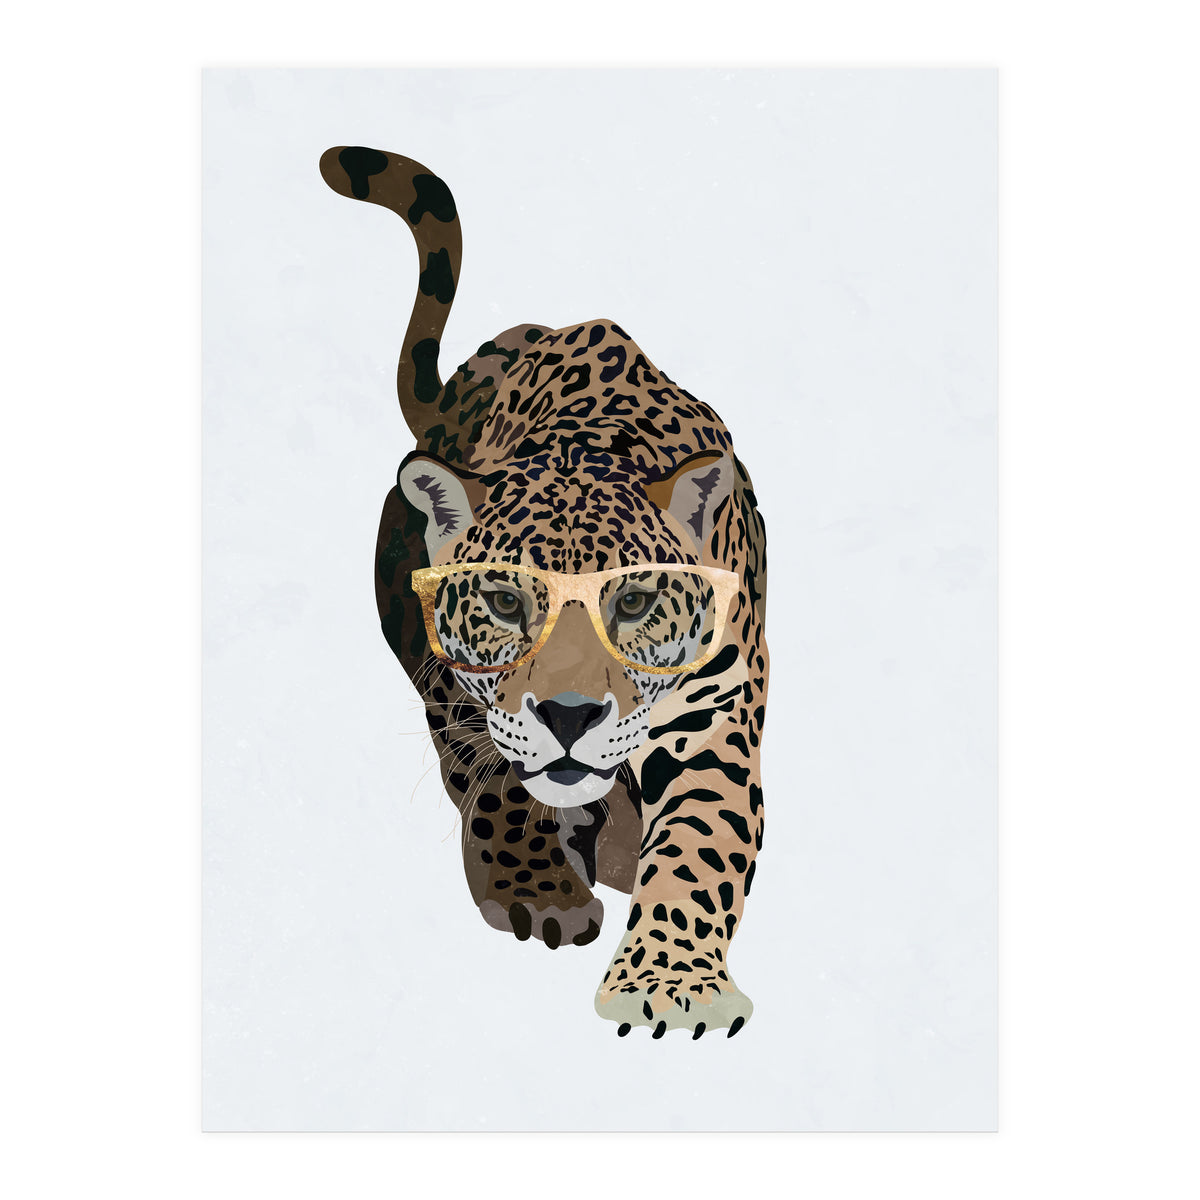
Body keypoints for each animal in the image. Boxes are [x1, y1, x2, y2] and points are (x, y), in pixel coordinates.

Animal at [319, 145, 769, 1039]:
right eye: (503, 602)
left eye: (632, 602)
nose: (568, 716)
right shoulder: (460, 687)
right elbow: (495, 777)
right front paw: (539, 890)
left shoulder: (715, 712)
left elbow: (700, 842)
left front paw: (669, 984)